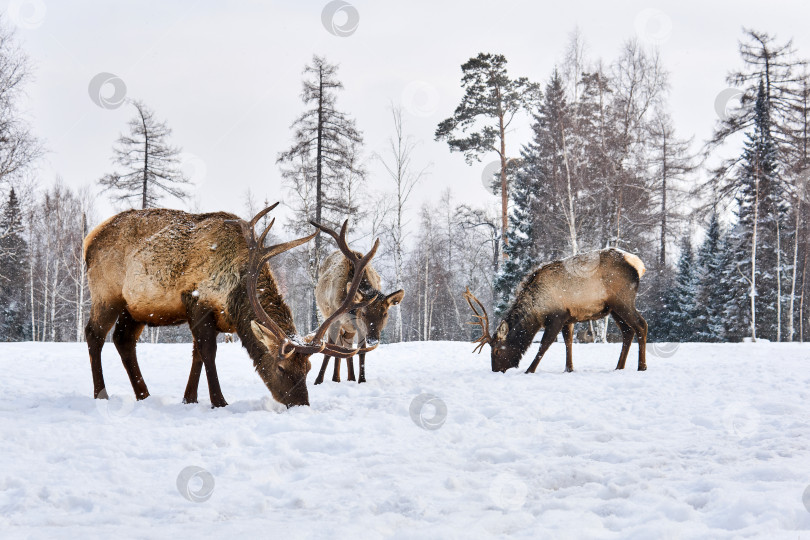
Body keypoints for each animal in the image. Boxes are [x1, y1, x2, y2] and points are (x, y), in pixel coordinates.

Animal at [82, 205, 378, 408]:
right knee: (94, 334)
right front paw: (218, 401)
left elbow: (197, 355)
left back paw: (144, 395)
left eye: (307, 369)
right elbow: (207, 352)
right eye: (281, 368)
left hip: (135, 308)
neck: (235, 295)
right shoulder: (197, 301)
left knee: (123, 340)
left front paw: (189, 399)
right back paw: (101, 394)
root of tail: (89, 240)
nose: (300, 404)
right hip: (106, 294)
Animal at [310, 221, 404, 386]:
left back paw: (349, 377)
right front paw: (318, 381)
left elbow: (361, 352)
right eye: (364, 313)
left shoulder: (360, 328)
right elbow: (329, 350)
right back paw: (337, 378)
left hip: (351, 329)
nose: (373, 339)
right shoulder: (334, 319)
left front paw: (361, 380)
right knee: (340, 345)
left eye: (385, 313)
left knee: (347, 347)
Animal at [464, 248, 648, 372]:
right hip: (613, 308)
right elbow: (568, 341)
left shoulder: (557, 316)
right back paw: (619, 366)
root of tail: (639, 265)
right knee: (627, 331)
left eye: (496, 350)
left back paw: (642, 366)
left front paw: (529, 370)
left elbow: (544, 344)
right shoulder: (569, 317)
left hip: (623, 300)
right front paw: (569, 368)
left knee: (641, 325)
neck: (536, 310)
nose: (495, 370)